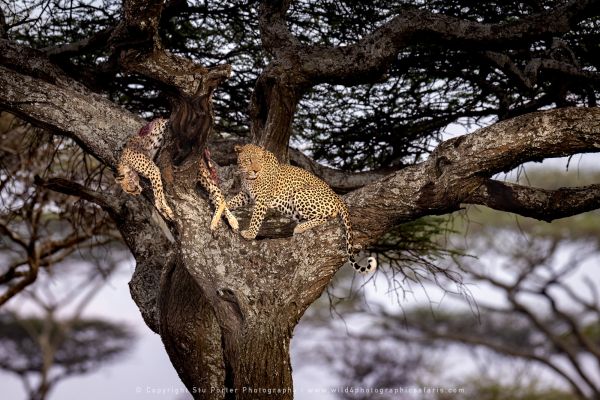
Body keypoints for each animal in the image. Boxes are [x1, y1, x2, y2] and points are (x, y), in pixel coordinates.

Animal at [227, 145, 378, 276]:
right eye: (249, 160)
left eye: (259, 160)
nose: (256, 171)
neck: (248, 177)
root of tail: (337, 197)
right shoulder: (245, 195)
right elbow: (231, 202)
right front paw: (224, 209)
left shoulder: (262, 200)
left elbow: (255, 219)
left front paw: (250, 234)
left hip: (299, 194)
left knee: (325, 217)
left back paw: (300, 227)